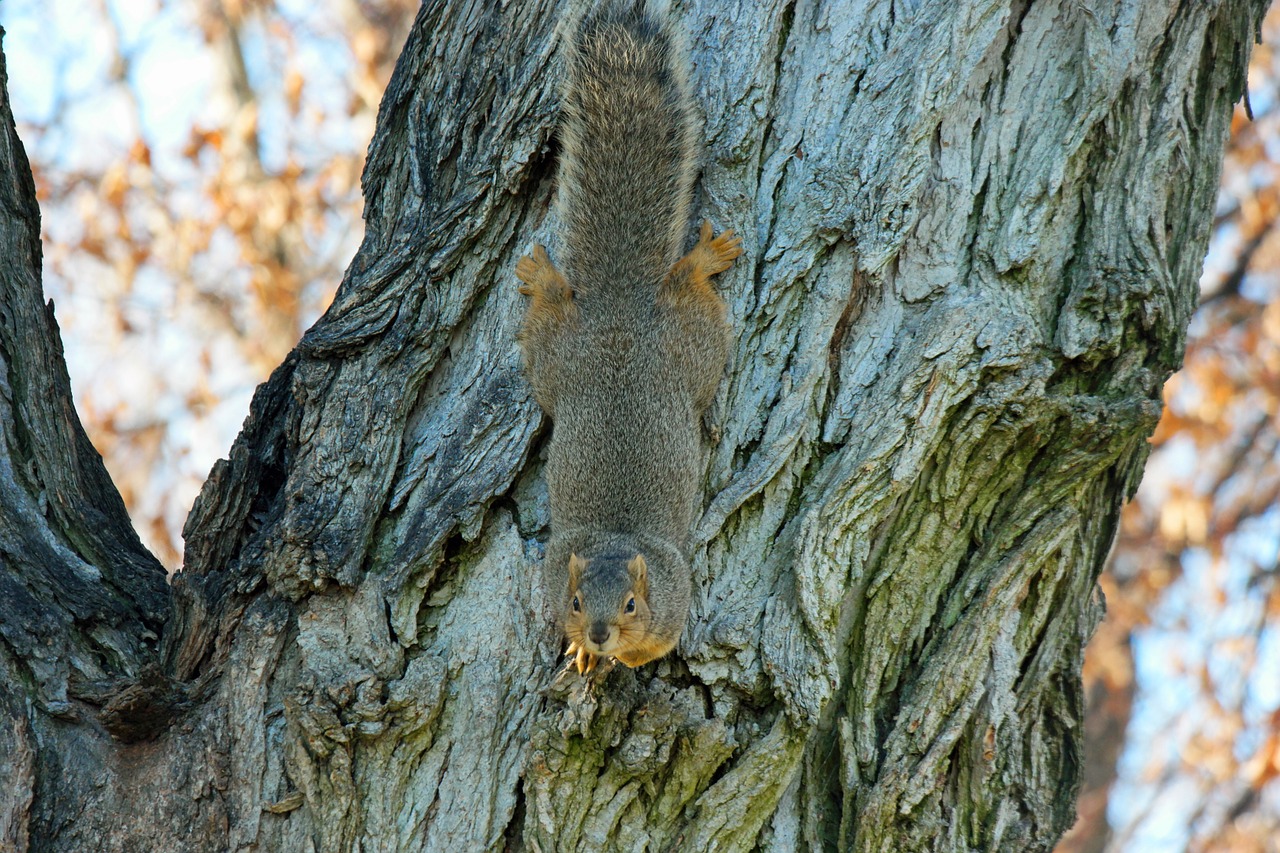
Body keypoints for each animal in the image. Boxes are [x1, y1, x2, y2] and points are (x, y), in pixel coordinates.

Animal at [517, 6, 747, 671]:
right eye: (573, 602)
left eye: (630, 604)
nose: (597, 633)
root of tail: (619, 306)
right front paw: (582, 652)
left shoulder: (674, 603)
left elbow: (652, 650)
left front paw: (621, 657)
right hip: (557, 359)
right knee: (553, 315)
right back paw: (544, 277)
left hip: (693, 346)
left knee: (688, 291)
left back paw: (702, 259)